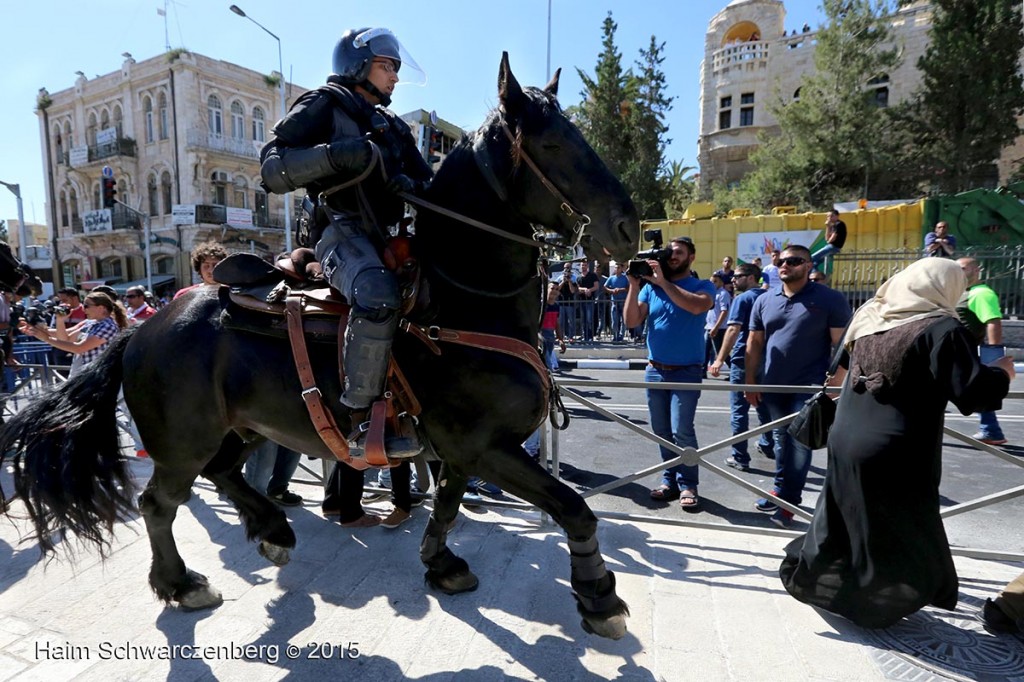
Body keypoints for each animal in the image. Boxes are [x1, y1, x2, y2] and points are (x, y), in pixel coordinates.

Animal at [2, 57, 638, 638]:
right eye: (553, 143)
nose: (629, 230)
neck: (462, 300)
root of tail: (144, 326)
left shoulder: (463, 449)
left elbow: (448, 505)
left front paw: (441, 563)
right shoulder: (487, 447)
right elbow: (574, 508)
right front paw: (598, 595)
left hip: (243, 426)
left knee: (224, 473)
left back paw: (272, 530)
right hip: (184, 442)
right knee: (160, 503)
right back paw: (182, 583)